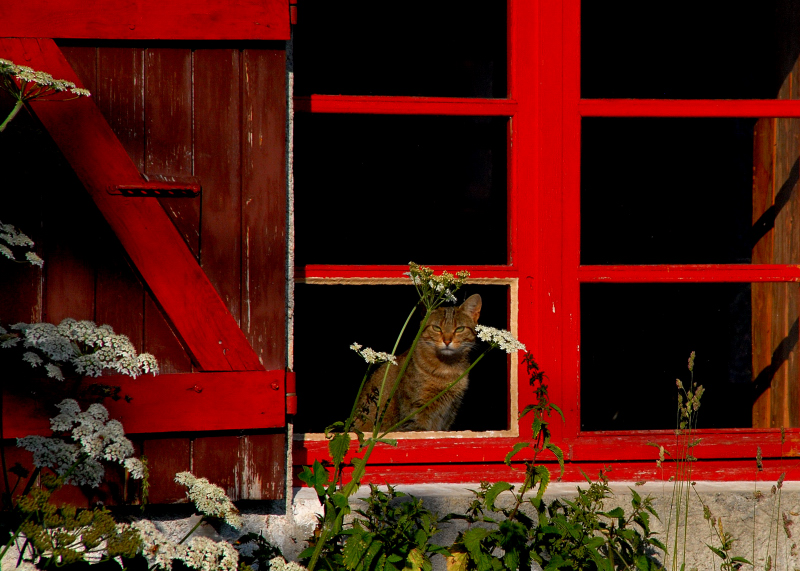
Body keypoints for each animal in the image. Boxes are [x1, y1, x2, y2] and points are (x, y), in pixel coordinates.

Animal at [354, 294, 482, 434]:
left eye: (459, 329)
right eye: (436, 328)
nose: (447, 341)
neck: (447, 368)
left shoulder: (449, 413)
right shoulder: (415, 414)